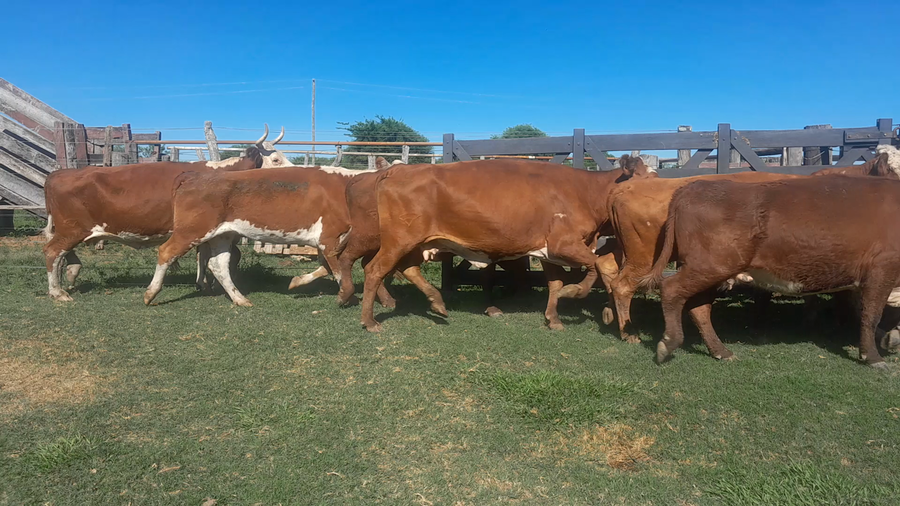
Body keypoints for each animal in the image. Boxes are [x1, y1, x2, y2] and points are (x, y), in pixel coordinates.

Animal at [42, 147, 264, 301]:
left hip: (70, 230)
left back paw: (71, 274)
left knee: (61, 253)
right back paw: (58, 292)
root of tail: (59, 173)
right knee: (52, 251)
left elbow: (204, 257)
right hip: (72, 229)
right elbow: (227, 256)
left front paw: (204, 284)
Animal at [356, 156, 657, 333]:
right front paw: (574, 292)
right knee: (374, 270)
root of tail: (397, 170)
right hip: (398, 240)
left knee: (408, 268)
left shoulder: (548, 251)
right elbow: (592, 267)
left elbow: (555, 283)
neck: (586, 192)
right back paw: (370, 321)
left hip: (417, 243)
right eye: (647, 180)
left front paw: (554, 318)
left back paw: (437, 302)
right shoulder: (563, 244)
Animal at [643, 175, 900, 369]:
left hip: (711, 271)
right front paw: (874, 357)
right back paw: (669, 343)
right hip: (710, 265)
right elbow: (870, 315)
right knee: (671, 289)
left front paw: (890, 338)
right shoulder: (882, 269)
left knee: (699, 307)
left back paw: (721, 351)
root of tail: (694, 186)